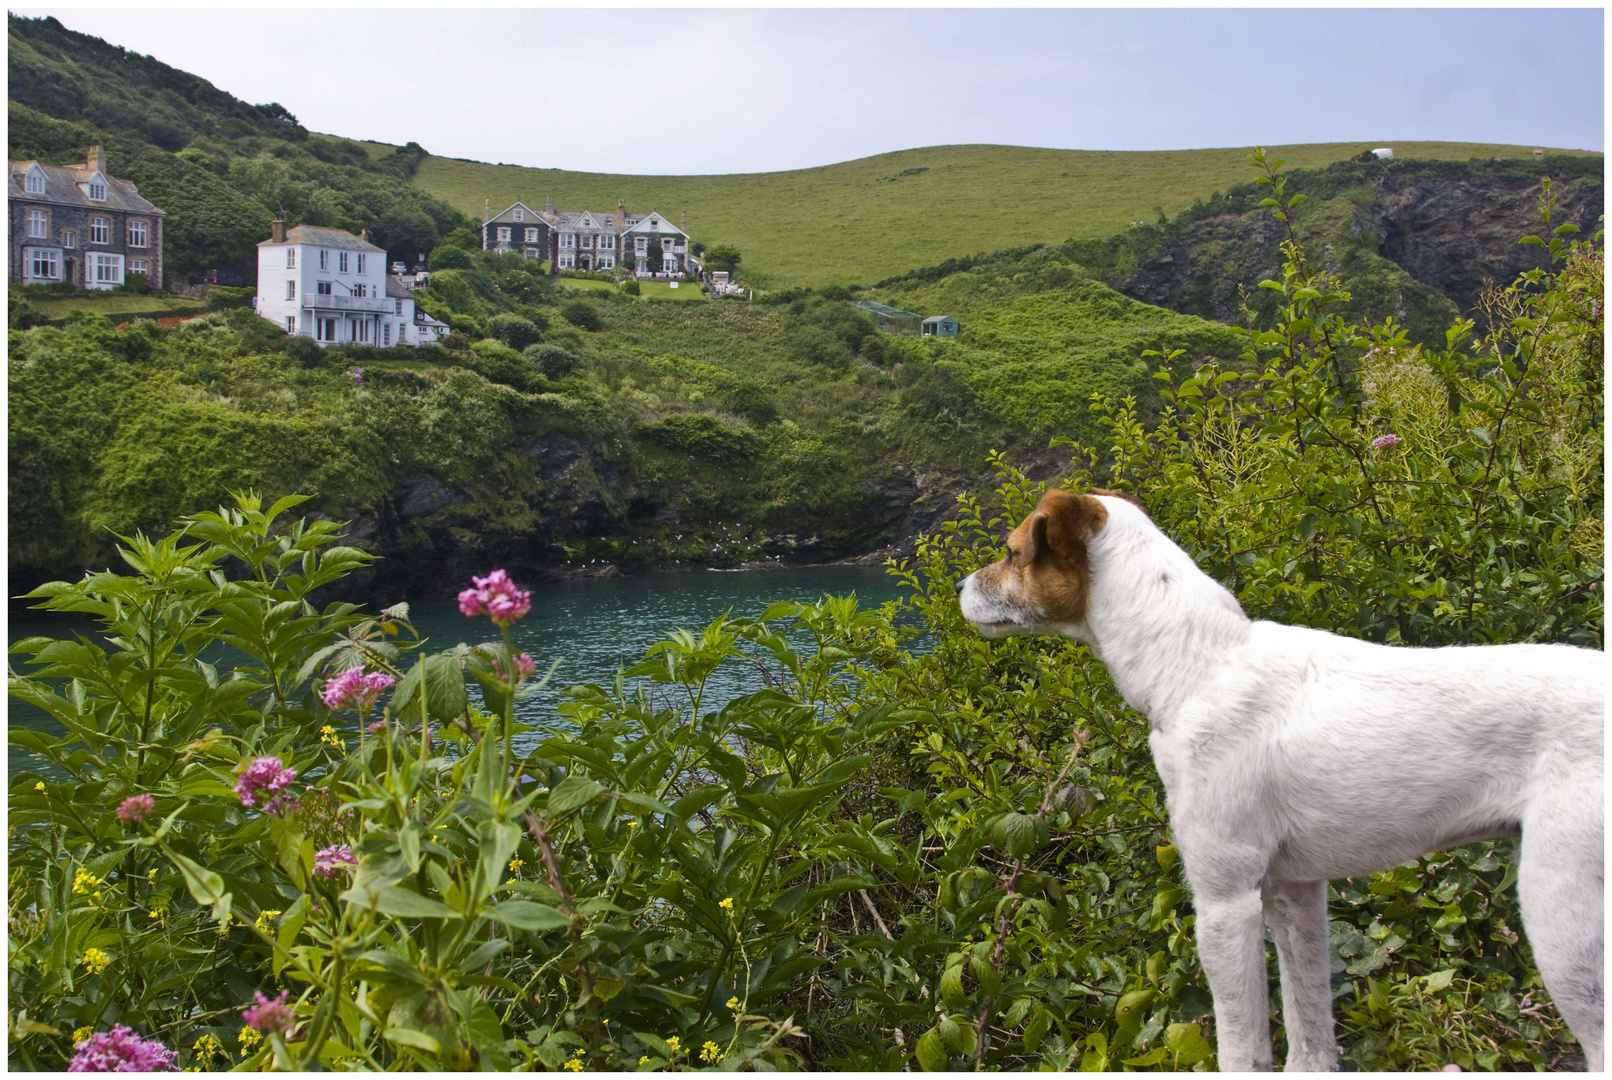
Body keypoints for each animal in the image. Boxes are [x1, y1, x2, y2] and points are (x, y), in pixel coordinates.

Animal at [954, 490, 1599, 1076]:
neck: (1197, 666)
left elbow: (1242, 1048)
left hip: (1564, 926)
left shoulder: (1226, 903)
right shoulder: (1296, 892)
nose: (959, 586)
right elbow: (1310, 1026)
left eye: (1011, 553)